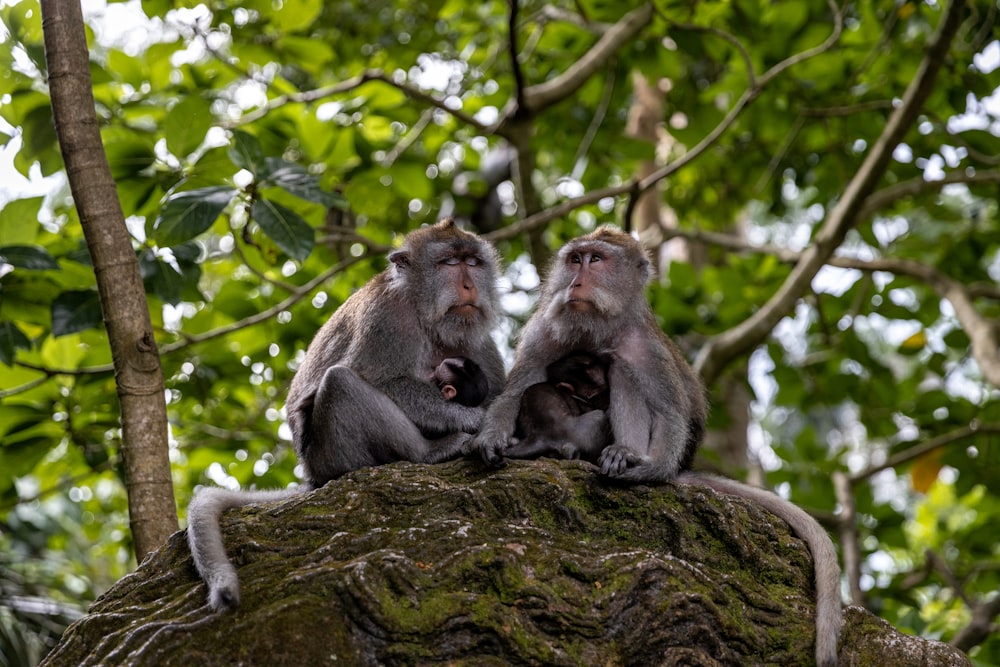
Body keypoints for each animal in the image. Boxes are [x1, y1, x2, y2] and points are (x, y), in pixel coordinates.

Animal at [190, 218, 508, 612]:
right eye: (450, 263)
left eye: (473, 263)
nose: (468, 285)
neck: (422, 310)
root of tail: (312, 476)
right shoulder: (387, 319)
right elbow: (381, 379)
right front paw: (475, 420)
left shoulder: (476, 339)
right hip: (330, 456)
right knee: (341, 382)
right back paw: (431, 452)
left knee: (340, 384)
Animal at [476, 226, 844, 667]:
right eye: (574, 259)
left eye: (596, 260)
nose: (576, 282)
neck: (597, 330)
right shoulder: (542, 333)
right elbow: (515, 393)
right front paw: (490, 438)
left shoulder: (645, 347)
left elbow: (670, 413)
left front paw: (651, 468)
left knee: (625, 374)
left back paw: (623, 455)